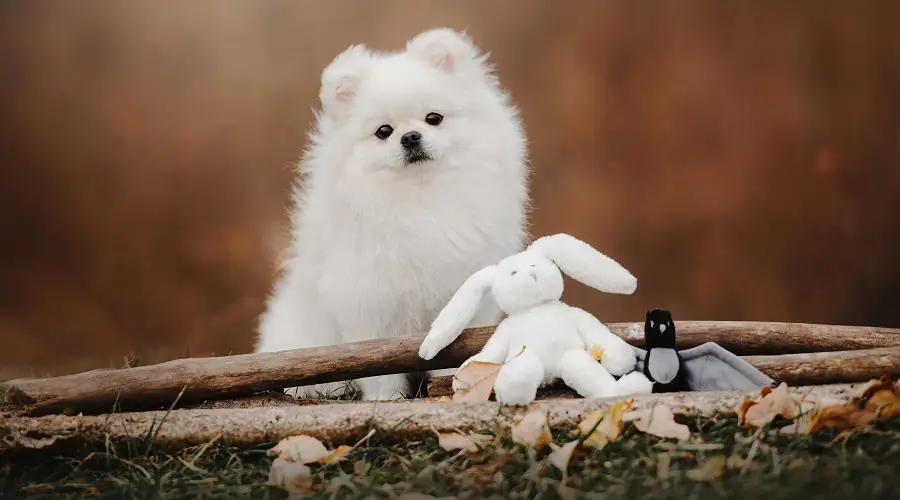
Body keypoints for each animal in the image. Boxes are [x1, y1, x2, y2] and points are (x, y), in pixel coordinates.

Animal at [253, 28, 532, 402]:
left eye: (433, 118)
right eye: (384, 131)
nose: (410, 137)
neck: (420, 197)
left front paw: (450, 384)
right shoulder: (370, 300)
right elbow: (376, 364)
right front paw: (385, 399)